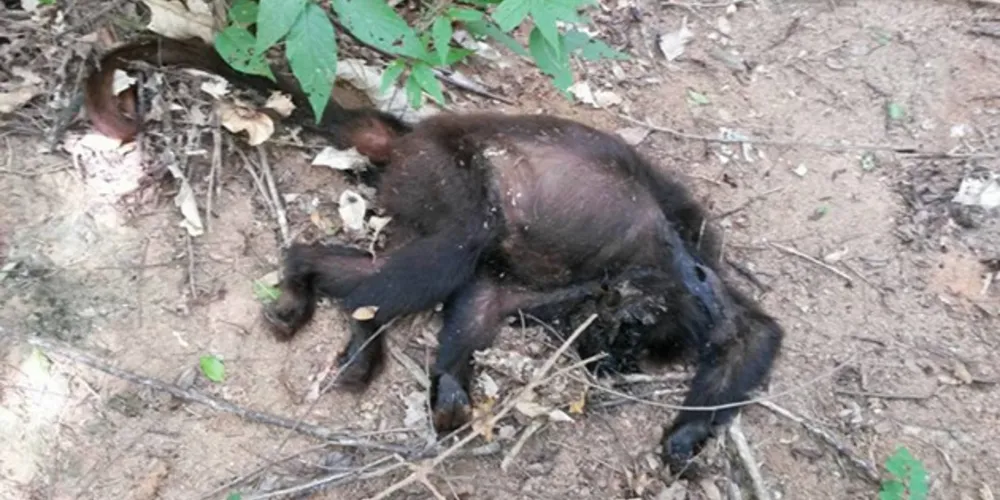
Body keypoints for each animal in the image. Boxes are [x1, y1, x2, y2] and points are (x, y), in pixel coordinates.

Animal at [82, 36, 785, 469]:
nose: (606, 365)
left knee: (418, 261)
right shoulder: (678, 264)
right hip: (445, 171)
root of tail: (411, 135)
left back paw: (302, 274)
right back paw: (362, 335)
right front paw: (688, 430)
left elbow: (485, 297)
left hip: (415, 188)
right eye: (629, 338)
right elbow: (742, 325)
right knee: (449, 249)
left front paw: (448, 382)